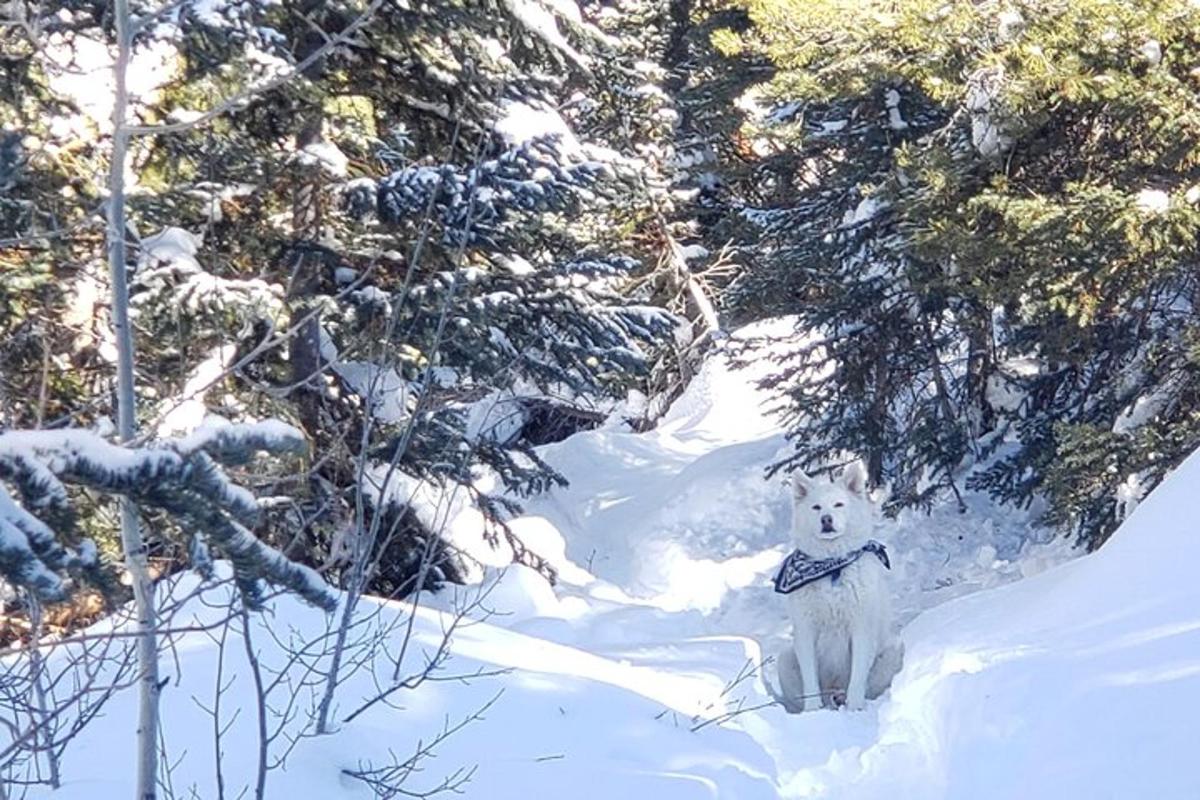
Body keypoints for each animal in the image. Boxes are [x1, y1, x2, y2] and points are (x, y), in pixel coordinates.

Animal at [777, 462, 902, 714]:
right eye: (816, 507)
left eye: (838, 504)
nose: (826, 519)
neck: (831, 566)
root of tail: (835, 691)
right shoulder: (805, 630)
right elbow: (810, 677)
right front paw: (812, 711)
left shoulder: (861, 627)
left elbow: (858, 676)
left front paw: (854, 709)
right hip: (784, 660)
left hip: (893, 651)